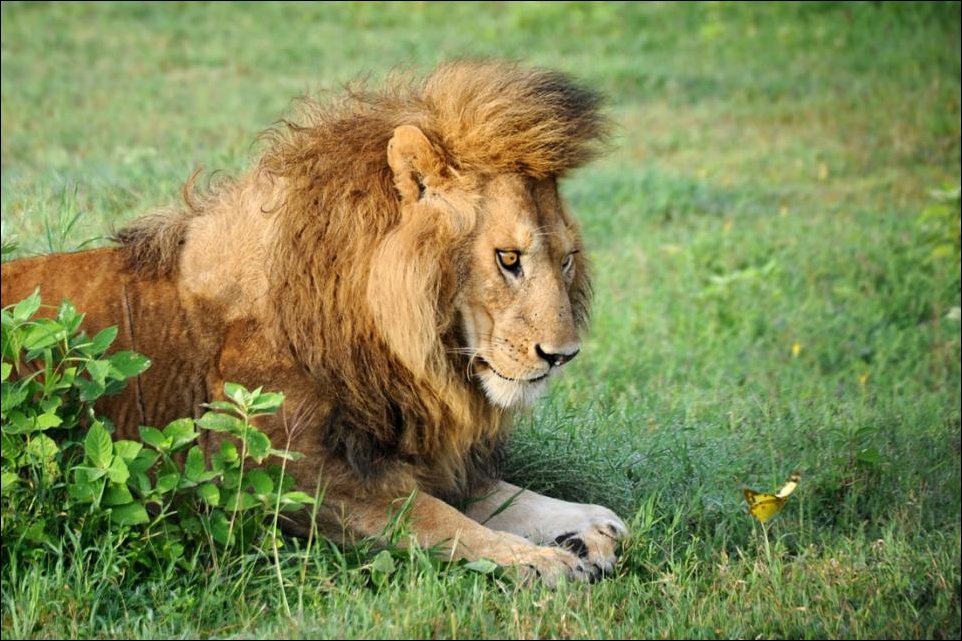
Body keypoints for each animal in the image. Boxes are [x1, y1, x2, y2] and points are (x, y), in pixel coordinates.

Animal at [1, 60, 627, 583]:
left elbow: (496, 495)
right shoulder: (280, 476)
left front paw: (587, 525)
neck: (407, 354)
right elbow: (436, 519)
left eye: (566, 260)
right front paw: (538, 560)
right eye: (508, 258)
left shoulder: (407, 451)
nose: (562, 356)